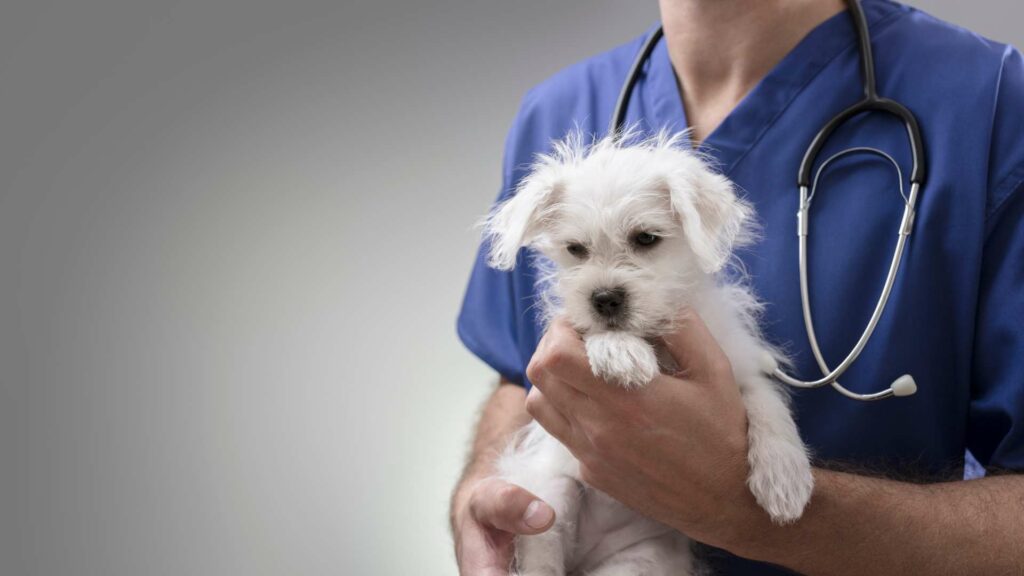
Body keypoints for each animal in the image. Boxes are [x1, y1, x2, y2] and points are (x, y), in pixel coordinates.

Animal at [483, 131, 811, 573]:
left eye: (645, 239)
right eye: (575, 249)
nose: (604, 298)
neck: (654, 336)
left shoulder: (737, 367)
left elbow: (767, 404)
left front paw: (784, 477)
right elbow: (595, 334)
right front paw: (620, 351)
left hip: (640, 561)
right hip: (549, 498)